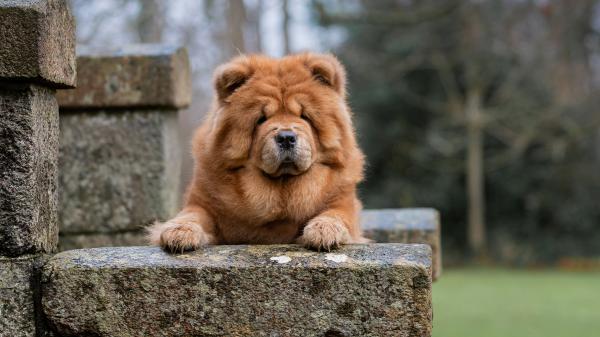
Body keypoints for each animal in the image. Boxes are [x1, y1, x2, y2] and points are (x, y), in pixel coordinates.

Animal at [148, 52, 368, 251]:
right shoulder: (203, 202)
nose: (286, 137)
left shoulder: (342, 201)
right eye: (261, 119)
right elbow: (192, 214)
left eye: (305, 117)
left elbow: (336, 214)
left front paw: (324, 230)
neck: (281, 191)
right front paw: (179, 231)